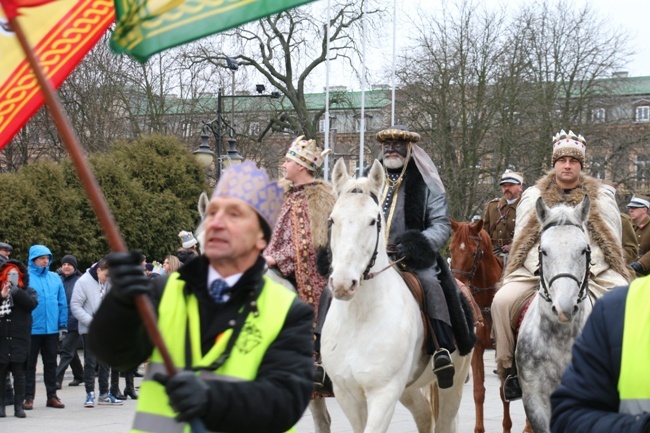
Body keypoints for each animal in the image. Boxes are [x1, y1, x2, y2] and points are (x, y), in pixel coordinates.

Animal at [320, 159, 468, 432]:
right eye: (332, 220)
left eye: (373, 221)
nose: (343, 284)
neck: (360, 318)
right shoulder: (347, 394)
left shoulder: (384, 393)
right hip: (408, 388)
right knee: (424, 415)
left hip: (452, 384)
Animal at [448, 219, 508, 432]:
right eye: (451, 249)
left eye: (474, 253)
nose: (457, 284)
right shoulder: (477, 348)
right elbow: (478, 392)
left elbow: (504, 391)